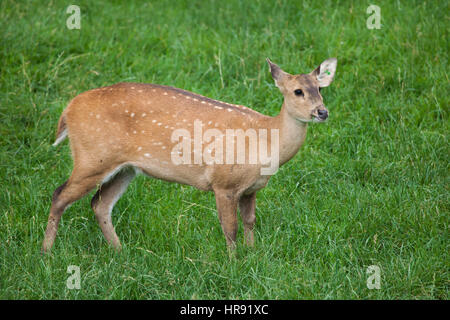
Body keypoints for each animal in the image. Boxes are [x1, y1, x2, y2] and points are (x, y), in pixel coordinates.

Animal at [43, 57, 338, 252]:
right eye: (297, 91)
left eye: (320, 88)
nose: (322, 112)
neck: (266, 138)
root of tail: (68, 110)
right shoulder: (224, 182)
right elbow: (230, 228)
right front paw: (234, 263)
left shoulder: (251, 189)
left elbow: (250, 222)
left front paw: (253, 254)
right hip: (92, 156)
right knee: (59, 195)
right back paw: (47, 253)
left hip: (125, 167)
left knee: (100, 203)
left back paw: (120, 251)